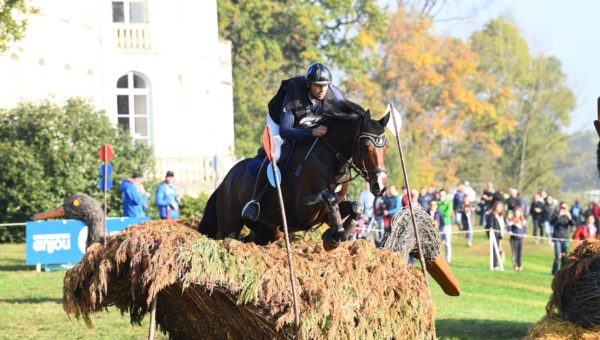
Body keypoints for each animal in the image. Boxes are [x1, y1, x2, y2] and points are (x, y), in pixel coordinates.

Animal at [199, 99, 390, 250]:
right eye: (365, 145)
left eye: (386, 147)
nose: (379, 186)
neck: (329, 160)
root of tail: (225, 180)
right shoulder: (303, 210)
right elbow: (328, 197)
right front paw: (333, 237)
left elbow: (356, 207)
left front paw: (339, 234)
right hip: (229, 225)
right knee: (225, 236)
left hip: (267, 230)